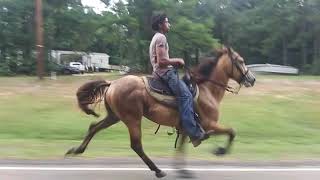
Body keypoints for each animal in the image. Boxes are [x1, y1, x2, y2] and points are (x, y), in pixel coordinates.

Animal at [66, 46, 256, 177]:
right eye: (240, 61)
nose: (252, 79)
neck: (207, 89)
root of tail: (112, 84)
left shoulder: (186, 127)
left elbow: (181, 148)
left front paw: (182, 170)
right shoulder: (209, 125)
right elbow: (231, 132)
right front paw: (220, 151)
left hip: (114, 116)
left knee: (94, 127)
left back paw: (76, 150)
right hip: (132, 119)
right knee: (136, 145)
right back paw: (157, 170)